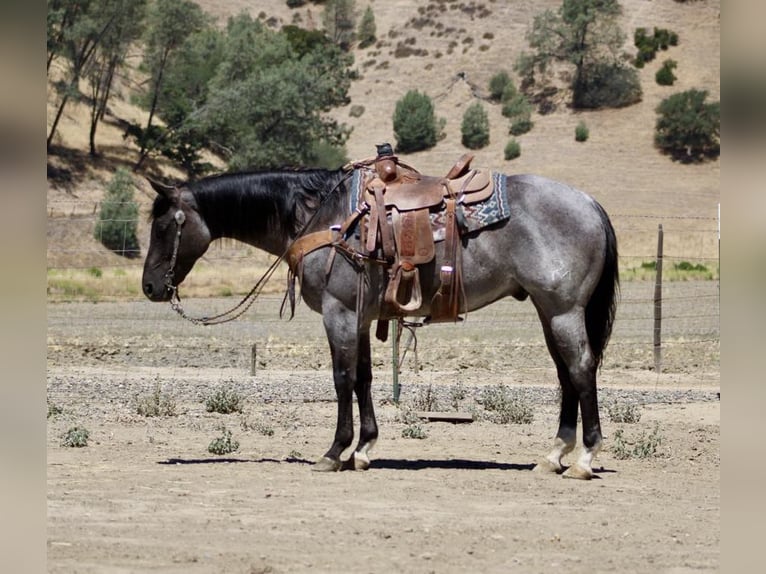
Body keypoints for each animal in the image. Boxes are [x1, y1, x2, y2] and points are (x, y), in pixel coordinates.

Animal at [142, 161, 618, 480]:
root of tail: (590, 203)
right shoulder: (360, 316)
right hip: (547, 309)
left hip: (562, 309)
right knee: (565, 374)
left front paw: (334, 452)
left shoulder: (338, 311)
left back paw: (584, 459)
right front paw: (364, 448)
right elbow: (365, 378)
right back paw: (553, 456)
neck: (322, 215)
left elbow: (342, 379)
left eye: (163, 226)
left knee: (580, 369)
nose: (149, 287)